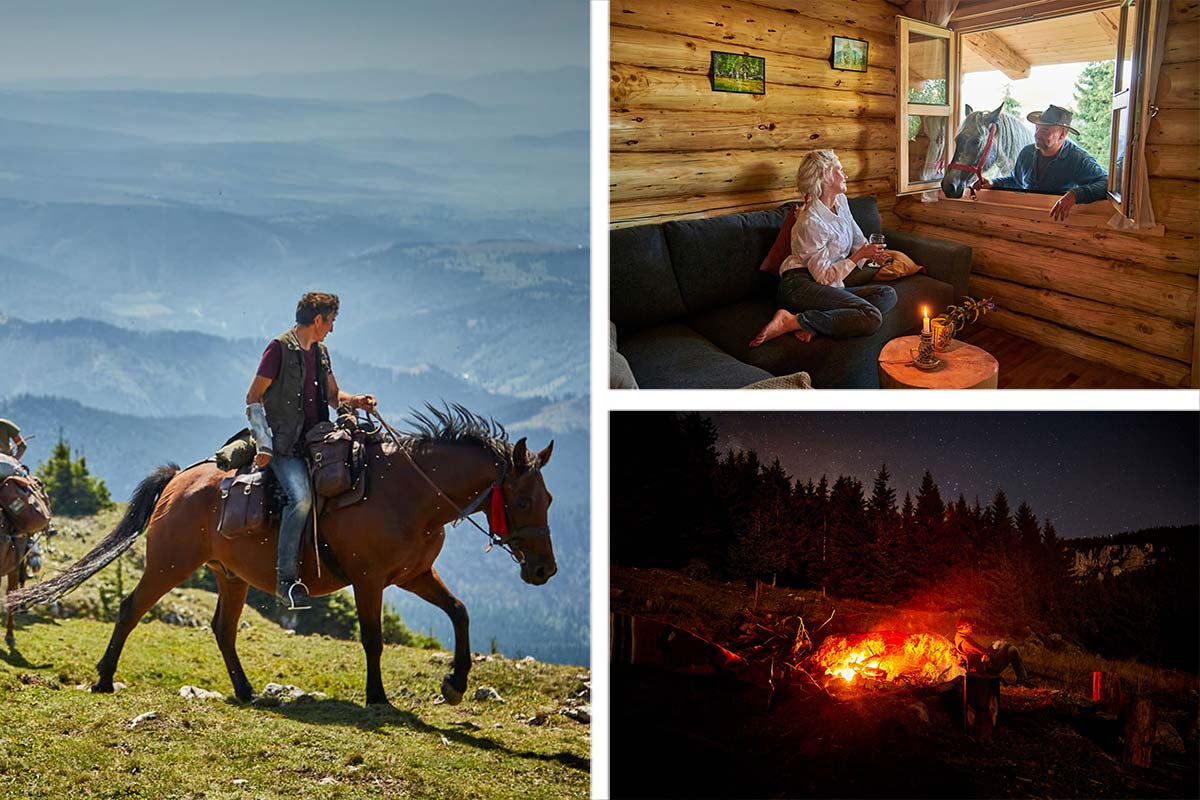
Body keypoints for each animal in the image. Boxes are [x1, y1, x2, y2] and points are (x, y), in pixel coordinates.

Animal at [9, 410, 554, 705]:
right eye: (525, 500)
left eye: (548, 500)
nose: (544, 570)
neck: (411, 494)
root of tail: (178, 479)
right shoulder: (370, 579)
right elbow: (374, 639)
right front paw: (377, 696)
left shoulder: (415, 573)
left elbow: (459, 612)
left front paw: (456, 683)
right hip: (169, 564)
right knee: (131, 608)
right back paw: (103, 678)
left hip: (230, 576)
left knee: (223, 630)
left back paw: (246, 690)